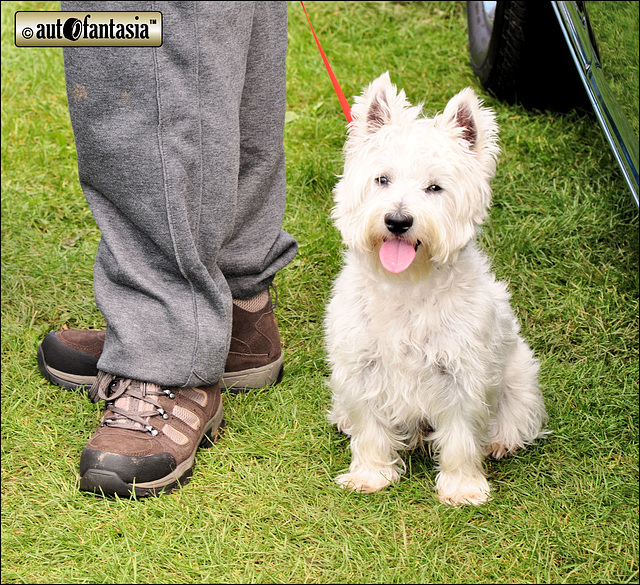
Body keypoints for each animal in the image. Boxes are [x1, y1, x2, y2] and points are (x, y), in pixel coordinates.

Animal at [328, 72, 548, 502]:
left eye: (435, 188)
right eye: (382, 179)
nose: (397, 221)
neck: (405, 285)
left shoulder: (463, 372)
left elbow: (462, 435)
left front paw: (462, 487)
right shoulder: (362, 367)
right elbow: (370, 426)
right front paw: (371, 474)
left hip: (519, 375)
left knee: (516, 416)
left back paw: (500, 441)